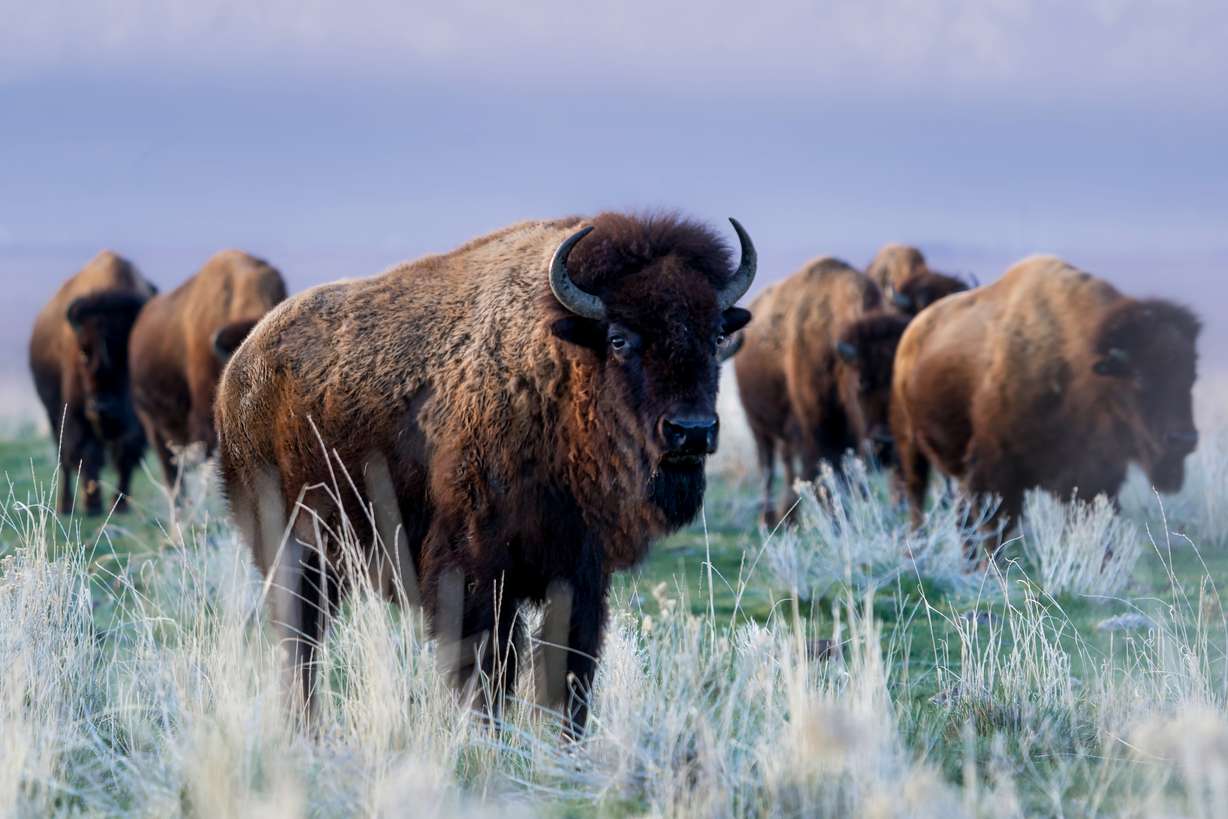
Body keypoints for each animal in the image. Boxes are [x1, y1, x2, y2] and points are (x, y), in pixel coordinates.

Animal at [28, 251, 156, 514]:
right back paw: (65, 505)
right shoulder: (76, 414)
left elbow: (126, 452)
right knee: (64, 459)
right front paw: (93, 504)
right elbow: (88, 453)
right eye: (83, 352)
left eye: (128, 354)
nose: (102, 408)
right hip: (53, 415)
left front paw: (119, 504)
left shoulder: (137, 420)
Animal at [215, 212, 755, 732]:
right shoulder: (477, 571)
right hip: (291, 550)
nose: (691, 431)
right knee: (301, 641)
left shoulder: (580, 574)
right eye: (619, 338)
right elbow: (490, 666)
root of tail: (242, 369)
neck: (558, 371)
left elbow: (570, 667)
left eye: (715, 336)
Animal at [734, 257, 909, 526]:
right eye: (861, 382)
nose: (886, 445)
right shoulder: (817, 431)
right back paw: (769, 519)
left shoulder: (849, 438)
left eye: (899, 382)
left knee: (787, 466)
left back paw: (789, 517)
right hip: (758, 425)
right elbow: (824, 477)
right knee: (767, 467)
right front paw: (835, 521)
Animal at [891, 254, 1200, 559]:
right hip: (910, 444)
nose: (1183, 439)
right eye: (1139, 378)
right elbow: (995, 532)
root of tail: (914, 331)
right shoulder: (996, 472)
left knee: (961, 517)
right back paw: (916, 549)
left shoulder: (1093, 477)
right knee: (918, 498)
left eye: (1191, 376)